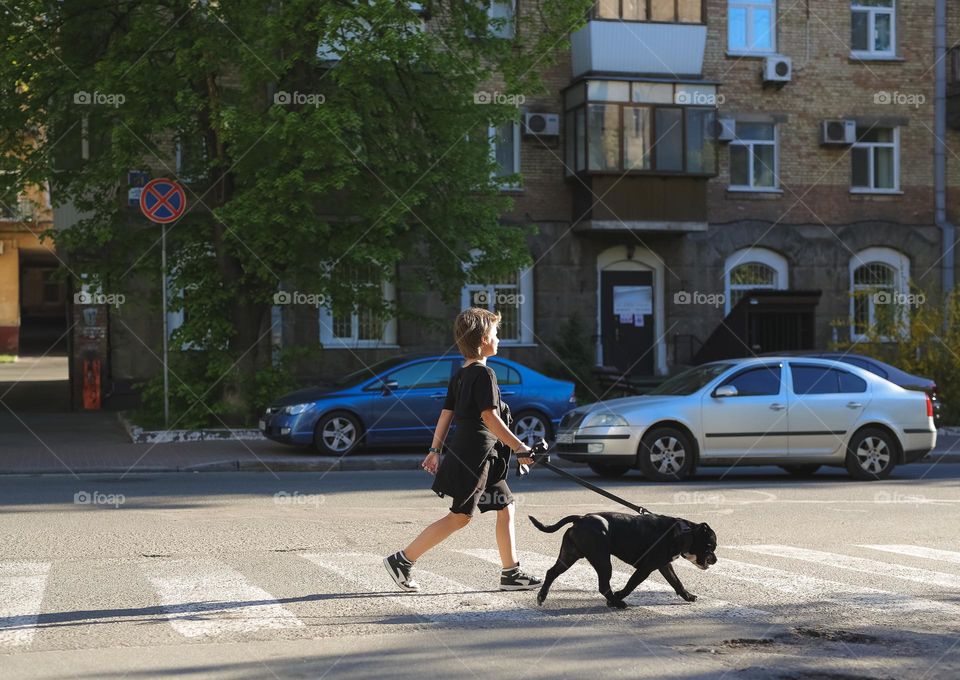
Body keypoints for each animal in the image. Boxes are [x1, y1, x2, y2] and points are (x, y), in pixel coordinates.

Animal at [528, 510, 716, 612]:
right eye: (711, 546)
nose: (715, 559)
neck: (685, 533)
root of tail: (581, 518)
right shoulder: (645, 568)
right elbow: (631, 584)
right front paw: (619, 595)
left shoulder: (664, 566)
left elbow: (676, 582)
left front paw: (688, 596)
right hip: (603, 562)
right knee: (604, 586)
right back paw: (616, 602)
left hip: (569, 556)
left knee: (551, 573)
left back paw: (541, 596)